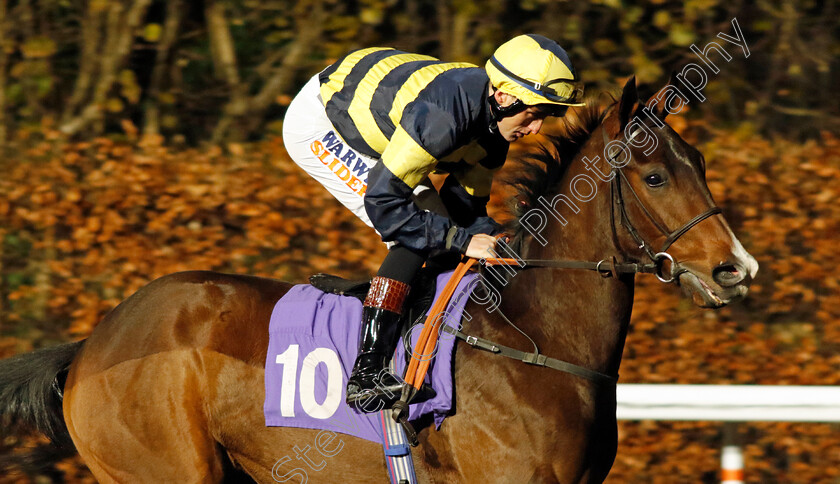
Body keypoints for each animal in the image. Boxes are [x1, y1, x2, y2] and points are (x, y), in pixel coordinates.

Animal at [0, 77, 756, 482]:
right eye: (654, 176)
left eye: (700, 163)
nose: (736, 267)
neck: (530, 338)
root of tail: (93, 343)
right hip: (167, 466)